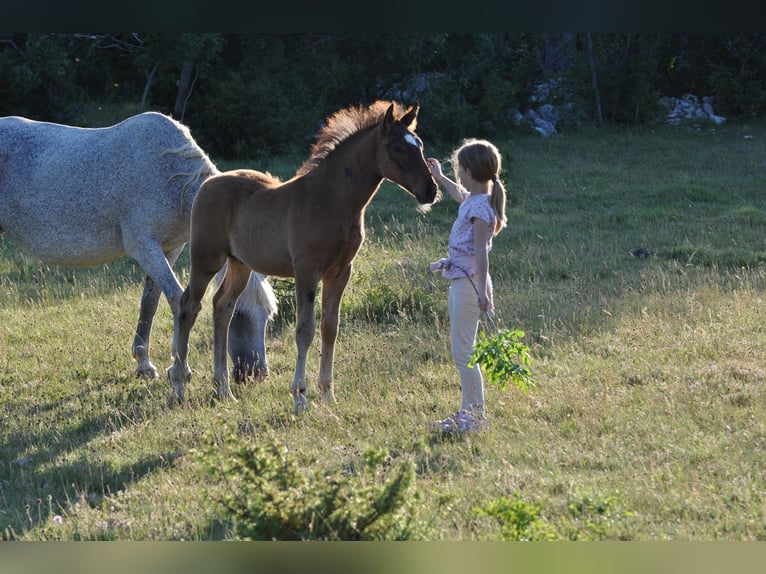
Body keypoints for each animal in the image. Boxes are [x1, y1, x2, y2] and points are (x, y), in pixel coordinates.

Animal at [0, 111, 276, 396]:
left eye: (267, 315)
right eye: (240, 315)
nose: (257, 374)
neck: (171, 177)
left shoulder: (169, 249)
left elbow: (150, 302)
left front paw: (145, 365)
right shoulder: (144, 247)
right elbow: (177, 299)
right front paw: (181, 370)